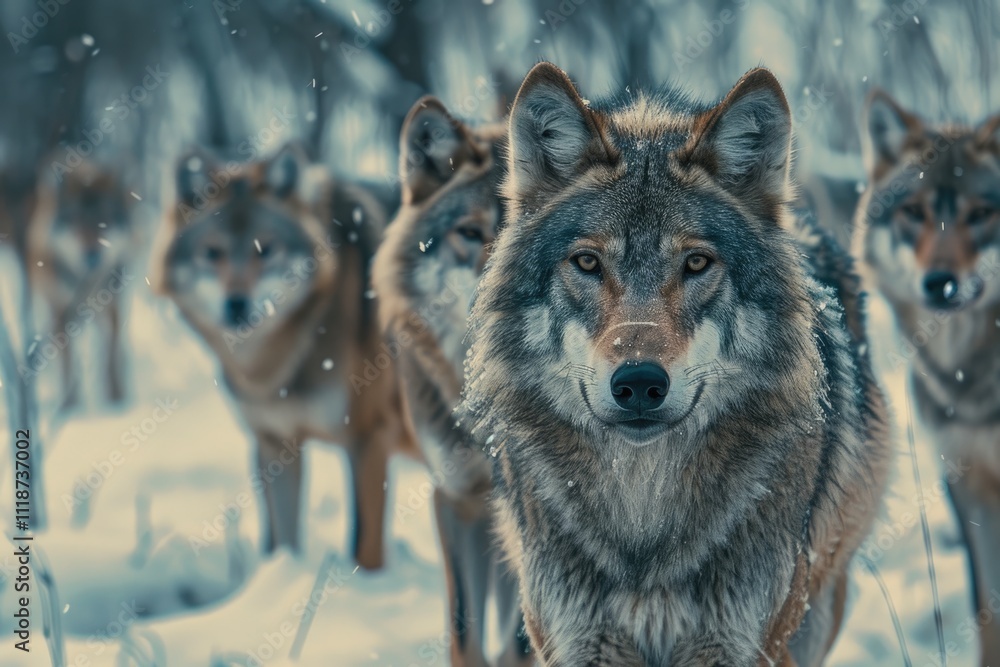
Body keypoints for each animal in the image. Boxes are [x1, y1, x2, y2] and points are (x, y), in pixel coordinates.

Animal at [25, 158, 136, 409]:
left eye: (104, 222)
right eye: (75, 223)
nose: (92, 256)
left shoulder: (111, 307)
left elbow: (110, 358)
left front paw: (117, 402)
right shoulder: (61, 311)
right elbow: (67, 365)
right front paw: (70, 407)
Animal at [151, 143, 416, 568]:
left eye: (266, 249)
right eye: (213, 252)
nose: (236, 305)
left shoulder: (368, 438)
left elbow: (364, 547)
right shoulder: (274, 444)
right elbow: (282, 540)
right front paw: (282, 575)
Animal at [459, 62, 892, 666]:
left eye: (696, 263)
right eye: (587, 262)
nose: (639, 383)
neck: (644, 518)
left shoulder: (737, 644)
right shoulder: (580, 642)